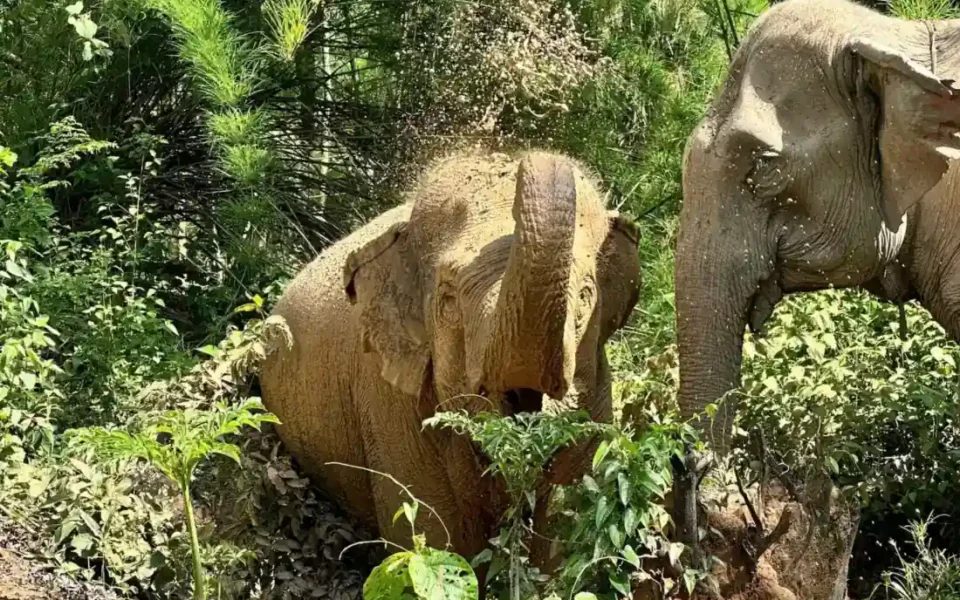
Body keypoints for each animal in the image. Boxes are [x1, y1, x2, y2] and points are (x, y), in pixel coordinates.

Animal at [260, 149, 642, 568]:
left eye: (587, 296)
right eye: (446, 301)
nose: (519, 158)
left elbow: (564, 532)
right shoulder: (386, 400)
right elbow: (427, 536)